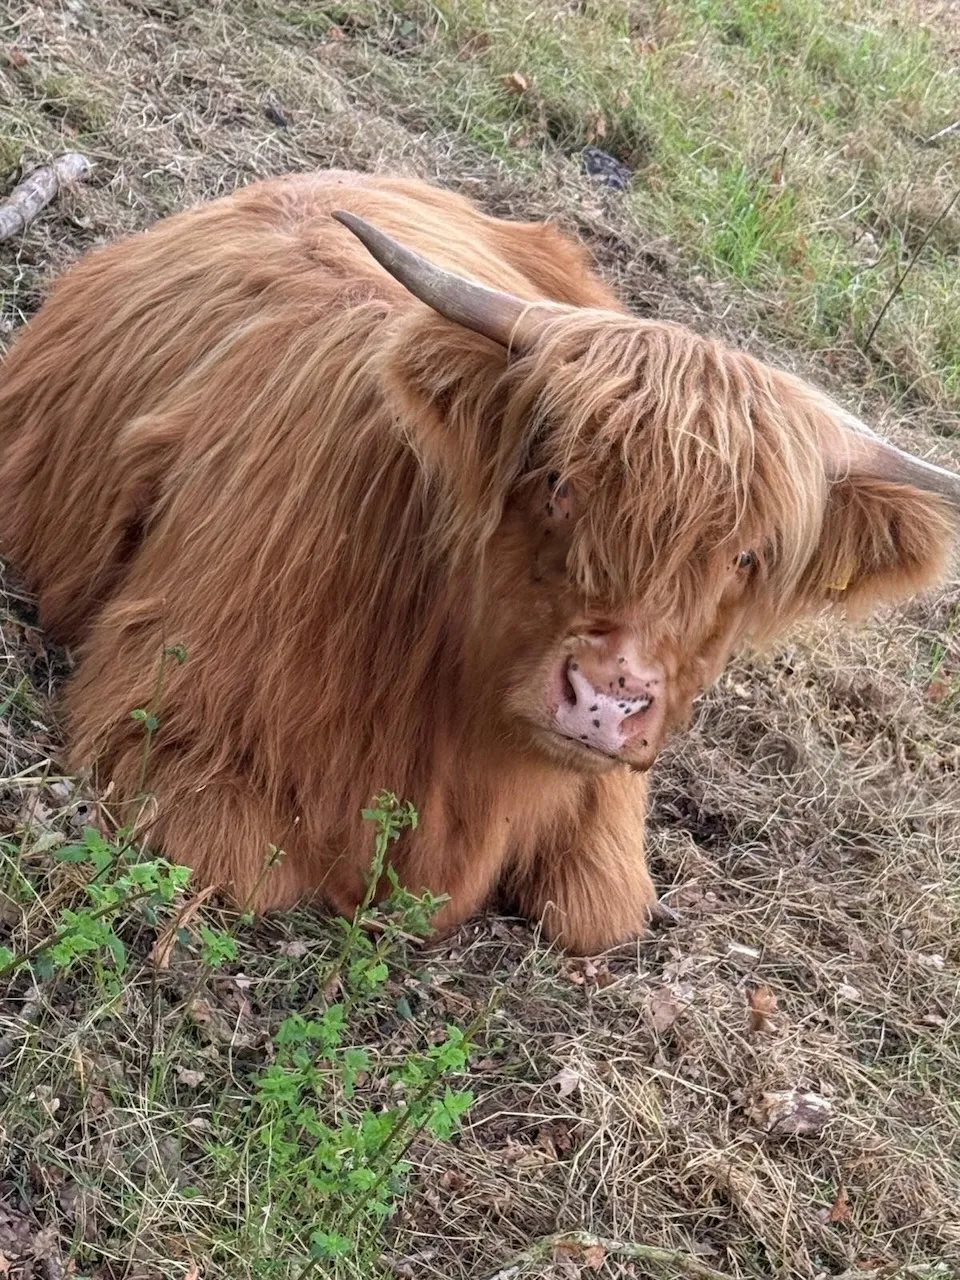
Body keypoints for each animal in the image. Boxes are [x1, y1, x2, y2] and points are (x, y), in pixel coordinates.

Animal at [0, 169, 958, 954]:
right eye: (559, 483)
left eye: (747, 556)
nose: (606, 703)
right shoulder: (156, 719)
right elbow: (254, 864)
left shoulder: (606, 813)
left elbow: (597, 912)